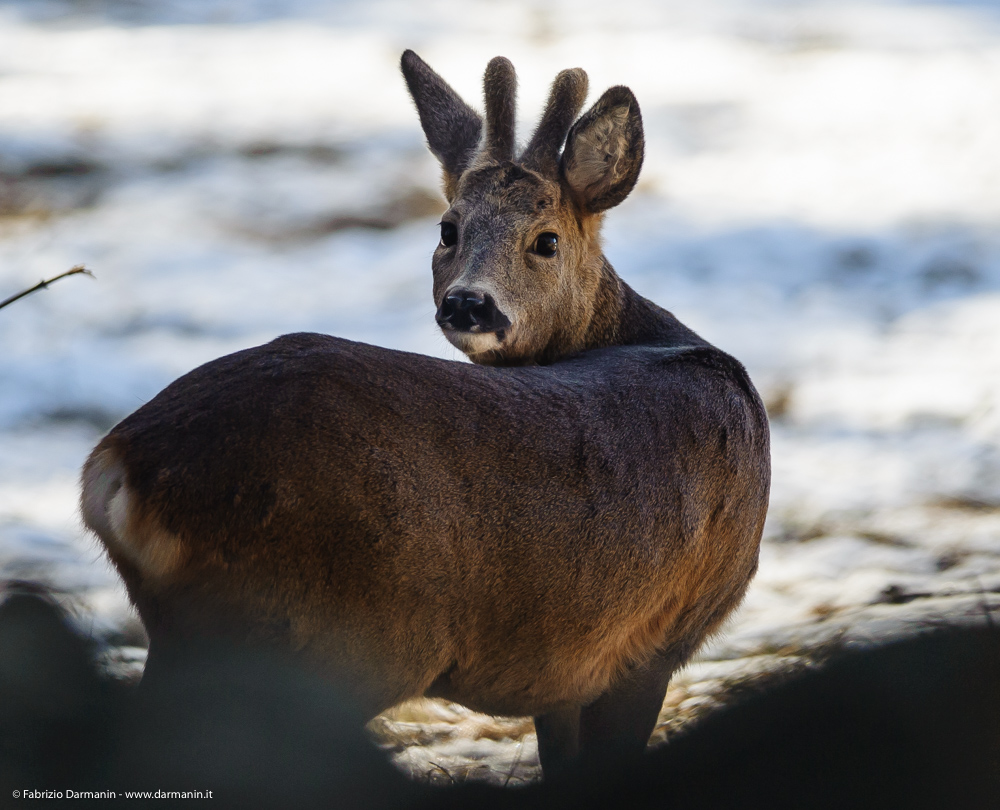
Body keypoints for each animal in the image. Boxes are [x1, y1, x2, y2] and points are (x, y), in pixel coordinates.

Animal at [82, 50, 768, 776]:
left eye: (546, 240)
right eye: (448, 228)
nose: (469, 303)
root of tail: (117, 468)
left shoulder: (568, 673)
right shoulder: (654, 641)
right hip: (309, 641)